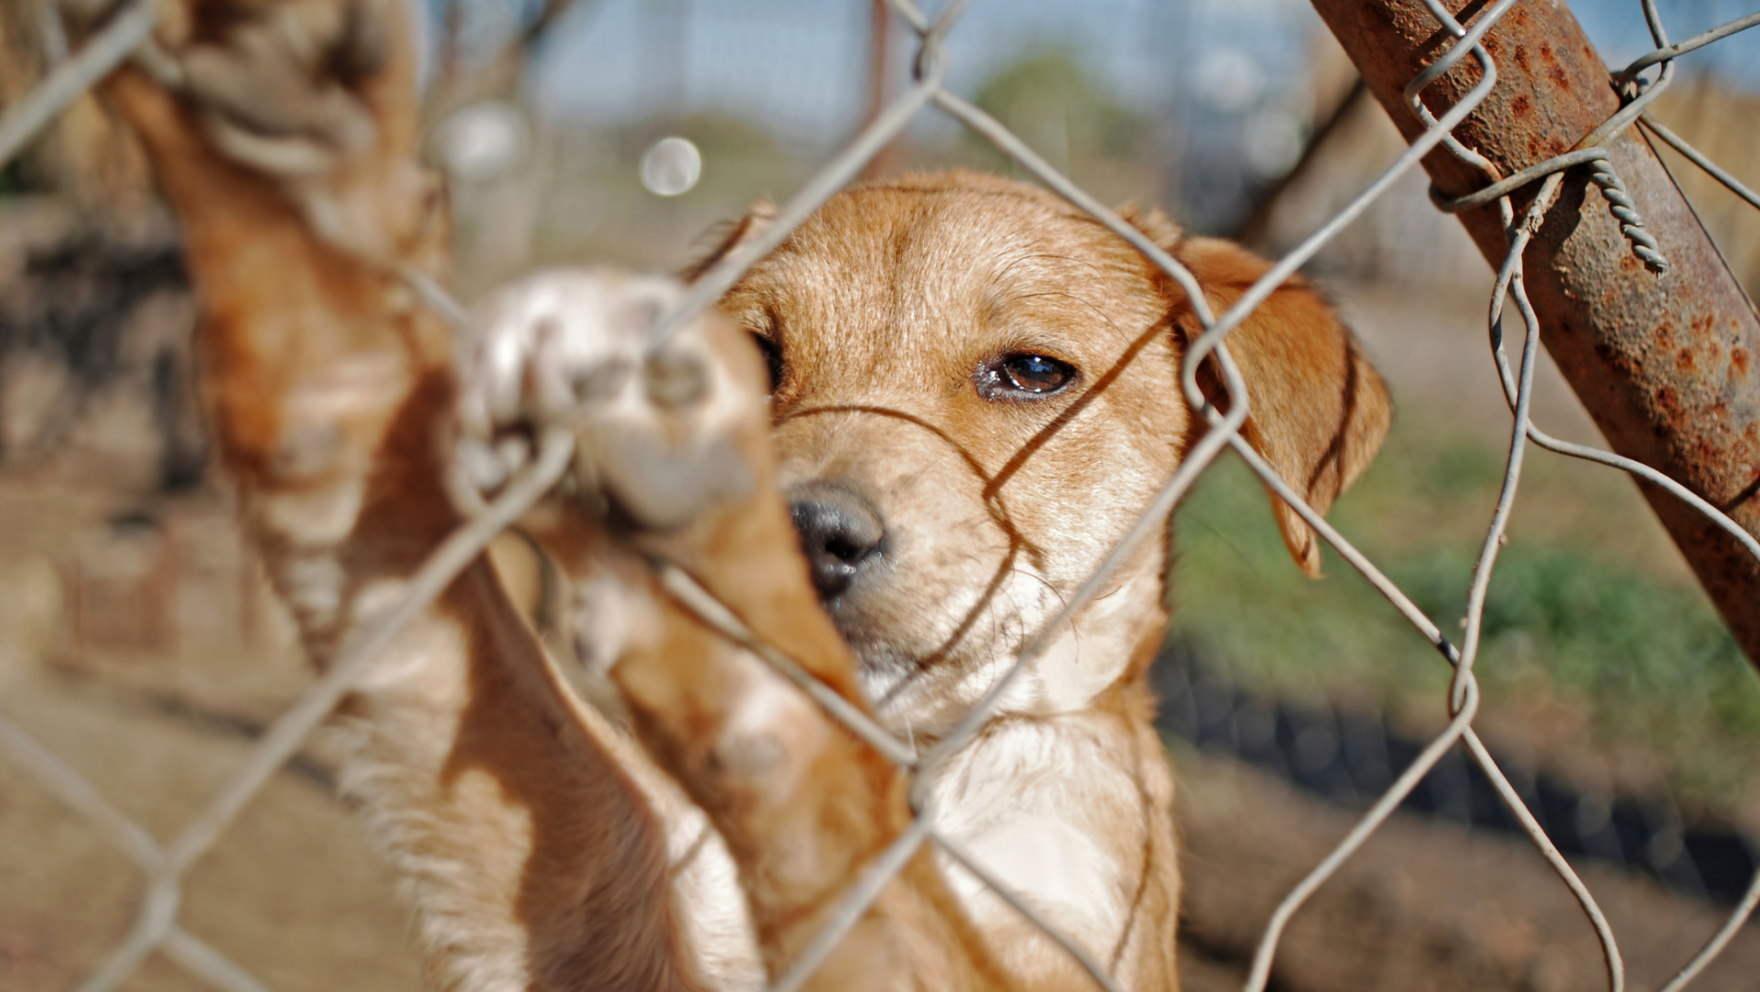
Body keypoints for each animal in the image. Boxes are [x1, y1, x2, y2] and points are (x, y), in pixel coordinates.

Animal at [99, 1, 1386, 992]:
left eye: (1030, 372)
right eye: (753, 356)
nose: (805, 532)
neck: (927, 771)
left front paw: (731, 594)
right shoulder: (599, 895)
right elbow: (442, 624)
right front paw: (276, 181)